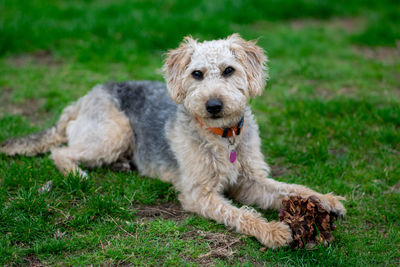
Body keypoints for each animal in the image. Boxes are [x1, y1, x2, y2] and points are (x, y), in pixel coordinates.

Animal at [0, 34, 346, 249]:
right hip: (114, 133)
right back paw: (78, 174)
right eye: (196, 74)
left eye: (229, 70)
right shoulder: (199, 193)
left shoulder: (251, 181)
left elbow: (291, 189)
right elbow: (241, 214)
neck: (223, 138)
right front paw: (273, 231)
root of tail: (83, 98)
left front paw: (326, 200)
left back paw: (122, 165)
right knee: (61, 152)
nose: (213, 105)